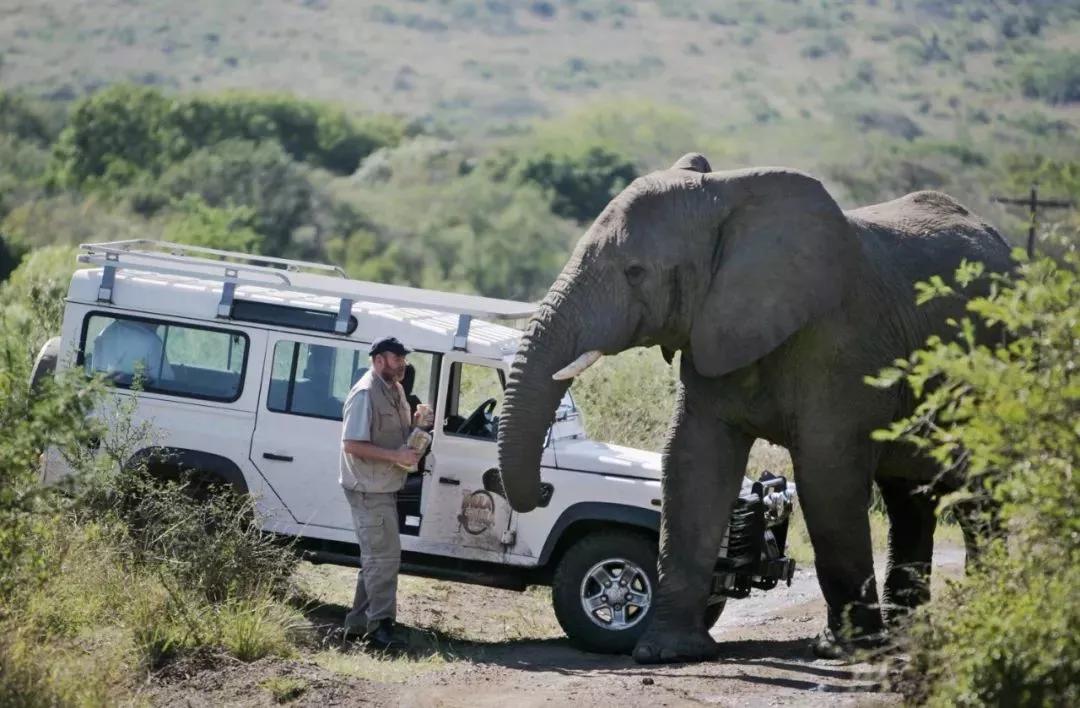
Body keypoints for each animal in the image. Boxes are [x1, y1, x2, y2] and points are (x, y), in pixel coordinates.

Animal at [496, 153, 1010, 664]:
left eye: (636, 272)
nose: (540, 491)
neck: (727, 201)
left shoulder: (841, 346)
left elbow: (827, 480)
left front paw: (842, 649)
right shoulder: (710, 328)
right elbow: (694, 466)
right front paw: (667, 652)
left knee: (977, 497)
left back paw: (977, 615)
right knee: (908, 499)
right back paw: (908, 637)